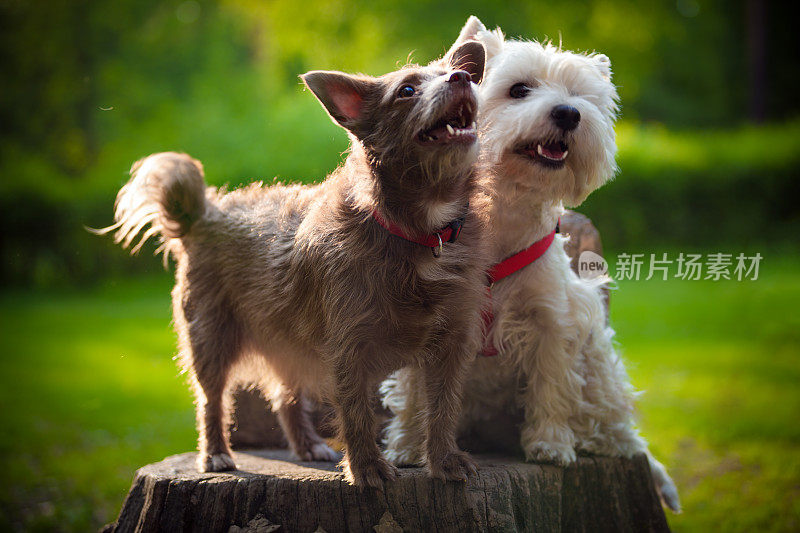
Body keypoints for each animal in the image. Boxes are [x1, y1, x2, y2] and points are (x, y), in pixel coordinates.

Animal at [100, 40, 488, 486]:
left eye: (462, 75)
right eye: (407, 90)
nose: (462, 77)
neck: (415, 231)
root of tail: (206, 212)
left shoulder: (450, 346)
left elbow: (442, 408)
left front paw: (444, 460)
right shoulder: (349, 350)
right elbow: (356, 413)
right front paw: (367, 467)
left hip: (287, 343)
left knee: (285, 397)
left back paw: (306, 446)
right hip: (211, 340)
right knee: (212, 400)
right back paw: (215, 454)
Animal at [382, 14, 680, 510]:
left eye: (579, 96)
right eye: (519, 89)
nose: (569, 113)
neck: (503, 216)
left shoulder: (552, 321)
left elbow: (552, 385)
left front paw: (550, 446)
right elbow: (412, 392)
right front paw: (405, 448)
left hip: (598, 359)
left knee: (616, 423)